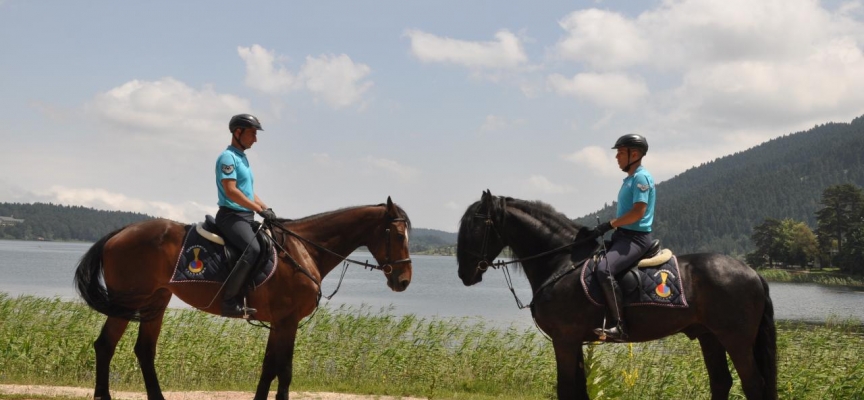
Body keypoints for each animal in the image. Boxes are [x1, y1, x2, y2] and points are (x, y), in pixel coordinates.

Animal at [74, 198, 412, 400]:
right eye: (398, 236)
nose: (404, 281)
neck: (304, 250)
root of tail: (122, 232)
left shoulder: (279, 323)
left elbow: (269, 367)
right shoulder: (288, 321)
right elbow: (284, 370)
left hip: (155, 302)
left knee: (143, 350)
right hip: (130, 302)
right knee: (106, 345)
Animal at [456, 191, 780, 400]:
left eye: (475, 225)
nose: (464, 274)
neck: (562, 261)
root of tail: (753, 272)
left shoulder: (565, 339)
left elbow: (566, 390)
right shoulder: (574, 341)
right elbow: (579, 392)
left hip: (736, 339)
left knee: (753, 385)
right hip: (709, 336)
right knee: (721, 382)